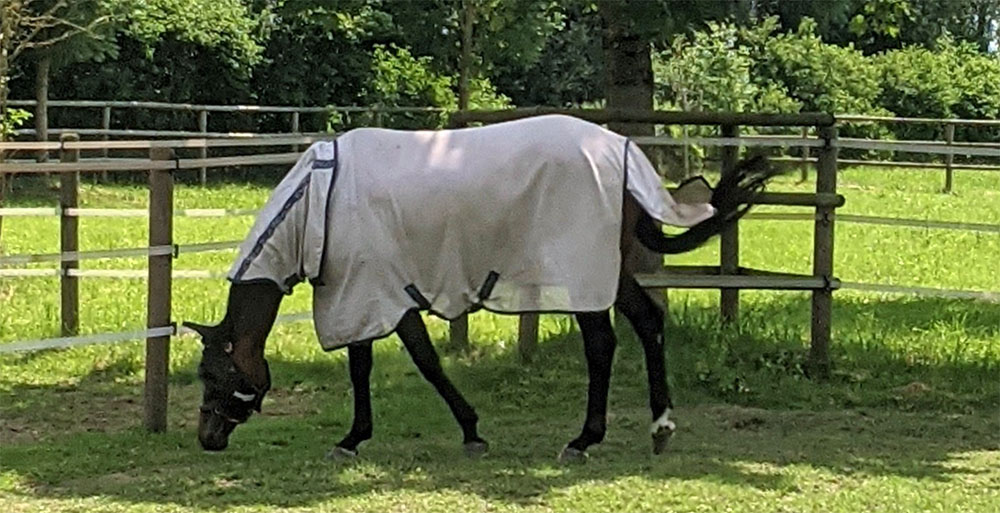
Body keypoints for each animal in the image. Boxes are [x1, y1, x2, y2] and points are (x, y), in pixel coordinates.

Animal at [182, 115, 772, 460]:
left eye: (214, 374)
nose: (206, 438)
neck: (317, 204)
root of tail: (621, 152)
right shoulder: (375, 297)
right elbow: (386, 363)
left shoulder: (378, 295)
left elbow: (413, 362)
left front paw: (453, 432)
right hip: (610, 268)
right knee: (648, 321)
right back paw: (660, 427)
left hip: (580, 276)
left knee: (602, 345)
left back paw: (584, 439)